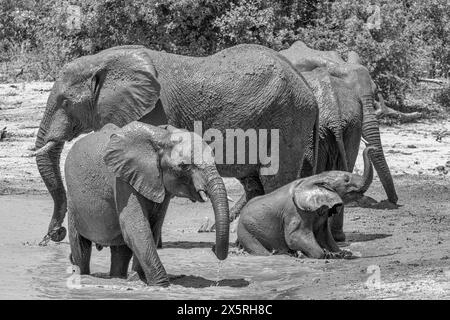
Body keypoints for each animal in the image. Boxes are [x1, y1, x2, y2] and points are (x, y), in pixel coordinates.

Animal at [33, 43, 318, 244]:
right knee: (254, 183)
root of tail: (310, 94)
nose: (54, 235)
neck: (103, 60)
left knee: (274, 180)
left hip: (286, 120)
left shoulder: (155, 111)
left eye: (65, 102)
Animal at [65, 121, 230, 286]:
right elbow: (136, 227)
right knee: (80, 247)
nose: (213, 248)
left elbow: (152, 228)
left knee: (120, 251)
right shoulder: (122, 180)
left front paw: (137, 278)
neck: (162, 137)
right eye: (184, 166)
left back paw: (118, 277)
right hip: (72, 200)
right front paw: (160, 284)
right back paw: (82, 274)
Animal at [237, 148, 374, 260]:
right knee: (258, 249)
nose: (372, 148)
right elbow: (294, 236)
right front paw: (321, 254)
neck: (316, 178)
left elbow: (325, 236)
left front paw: (342, 253)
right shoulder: (296, 212)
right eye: (346, 180)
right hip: (246, 229)